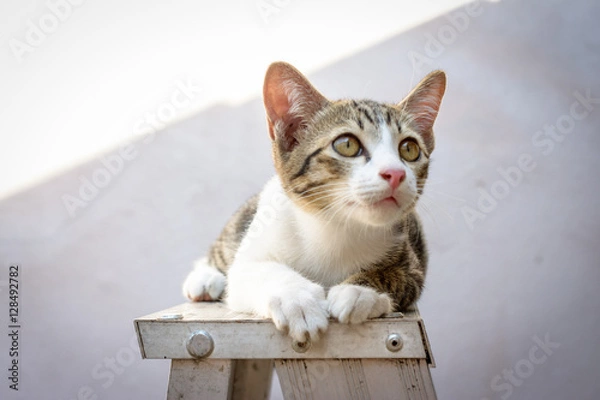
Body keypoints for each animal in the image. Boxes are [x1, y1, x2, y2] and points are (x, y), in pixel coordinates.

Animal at [183, 62, 446, 344]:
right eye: (347, 144)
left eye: (409, 149)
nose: (395, 173)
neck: (335, 227)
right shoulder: (250, 260)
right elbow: (254, 270)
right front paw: (296, 299)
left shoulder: (413, 264)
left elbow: (398, 278)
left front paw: (357, 291)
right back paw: (204, 278)